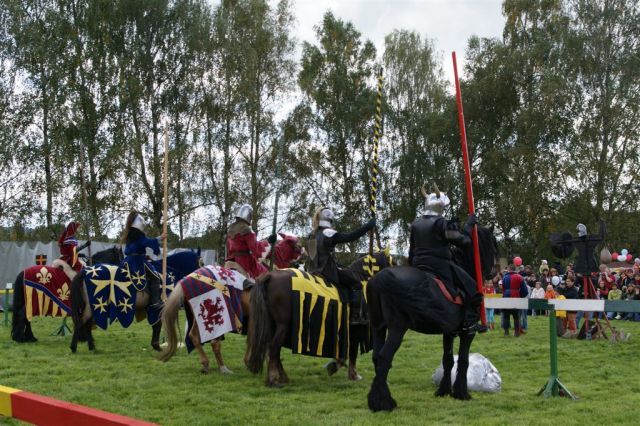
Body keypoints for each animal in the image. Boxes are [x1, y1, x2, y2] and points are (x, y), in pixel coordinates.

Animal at [69, 250, 201, 352]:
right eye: (200, 263)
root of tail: (85, 271)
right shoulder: (158, 307)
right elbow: (157, 325)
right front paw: (157, 346)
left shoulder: (151, 308)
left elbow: (155, 326)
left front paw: (156, 345)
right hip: (93, 306)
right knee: (81, 322)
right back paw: (74, 347)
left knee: (86, 324)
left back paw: (91, 347)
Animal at [156, 236, 304, 372]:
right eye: (296, 245)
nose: (303, 256)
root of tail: (187, 279)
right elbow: (254, 339)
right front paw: (253, 362)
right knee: (213, 342)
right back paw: (223, 368)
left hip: (198, 318)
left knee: (194, 336)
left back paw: (206, 363)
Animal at [245, 251, 392, 388]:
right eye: (392, 263)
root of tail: (270, 276)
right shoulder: (355, 328)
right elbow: (353, 352)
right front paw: (350, 373)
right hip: (283, 325)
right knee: (273, 348)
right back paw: (273, 380)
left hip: (273, 325)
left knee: (273, 350)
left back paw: (282, 378)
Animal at [364, 225, 500, 412]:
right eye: (493, 247)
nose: (493, 273)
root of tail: (378, 280)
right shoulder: (468, 333)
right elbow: (463, 361)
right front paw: (461, 393)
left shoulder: (448, 332)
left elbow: (448, 360)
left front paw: (443, 391)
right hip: (397, 328)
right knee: (384, 357)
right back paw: (384, 403)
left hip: (378, 327)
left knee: (376, 356)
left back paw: (376, 400)